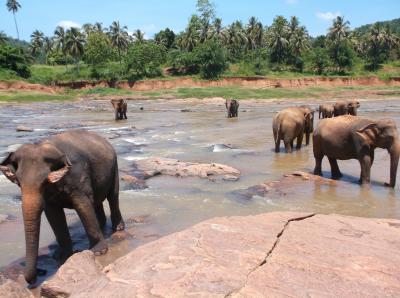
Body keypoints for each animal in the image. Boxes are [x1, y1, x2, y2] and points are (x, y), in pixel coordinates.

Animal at [0, 130, 125, 284]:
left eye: (45, 182)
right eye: (18, 182)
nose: (41, 271)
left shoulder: (78, 176)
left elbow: (83, 206)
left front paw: (98, 252)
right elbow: (54, 215)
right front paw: (62, 256)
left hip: (114, 168)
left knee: (113, 196)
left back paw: (118, 228)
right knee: (97, 202)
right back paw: (102, 226)